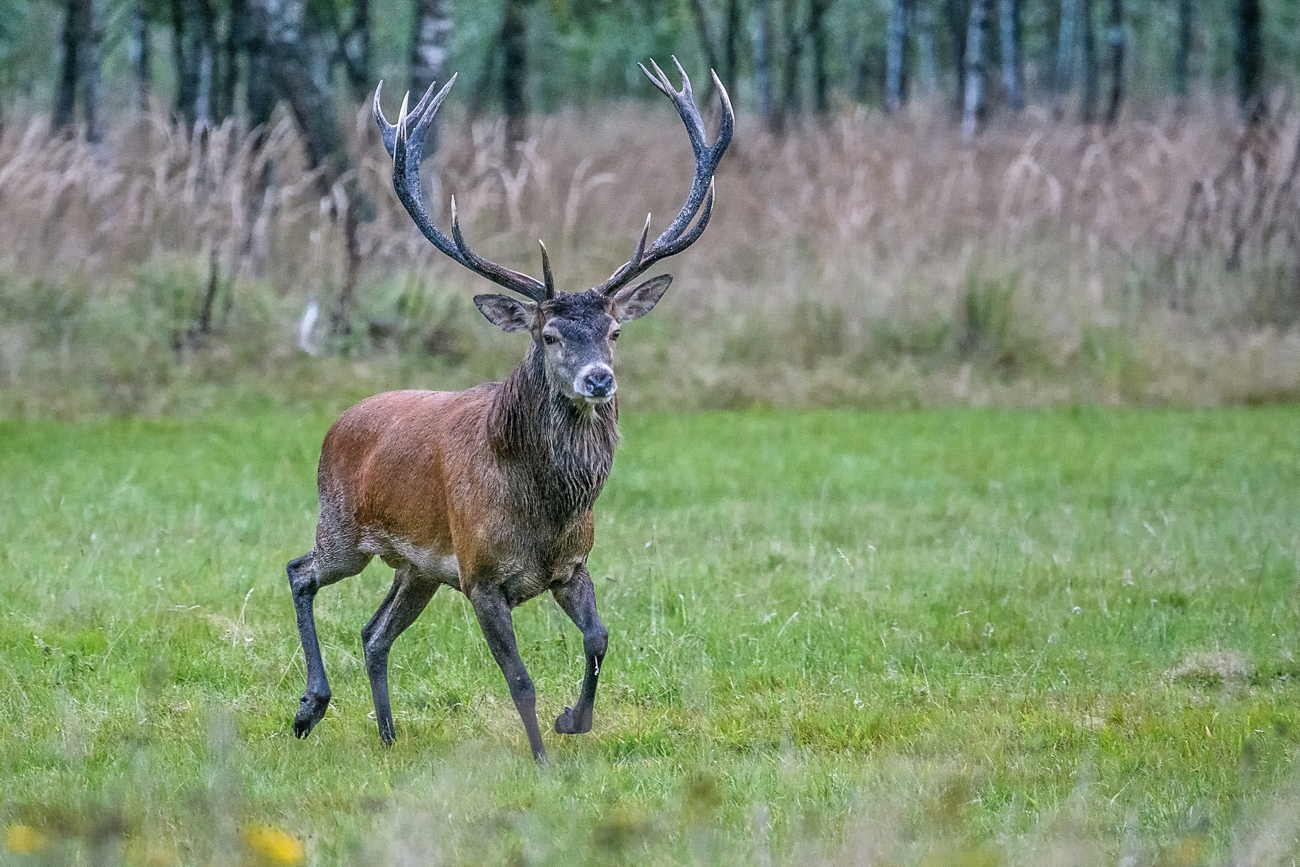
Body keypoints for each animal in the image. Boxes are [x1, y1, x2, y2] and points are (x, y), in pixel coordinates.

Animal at [286, 61, 733, 764]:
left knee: (373, 630)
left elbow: (600, 637)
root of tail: (337, 424)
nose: (599, 378)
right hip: (342, 530)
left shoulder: (571, 564)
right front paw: (544, 758)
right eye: (548, 336)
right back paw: (310, 707)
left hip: (416, 567)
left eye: (613, 330)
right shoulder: (481, 575)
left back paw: (387, 734)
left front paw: (573, 720)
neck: (543, 513)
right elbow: (519, 676)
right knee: (300, 572)